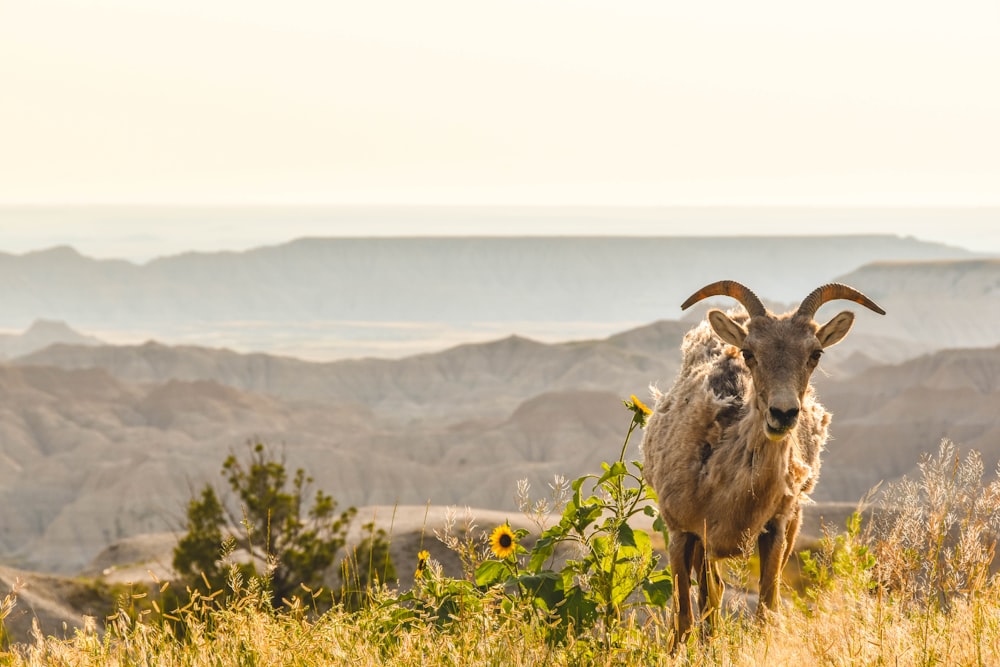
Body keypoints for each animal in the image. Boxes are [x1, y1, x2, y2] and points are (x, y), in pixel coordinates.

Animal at [640, 280, 884, 640]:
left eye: (815, 354)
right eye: (749, 352)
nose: (783, 413)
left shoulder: (775, 531)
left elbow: (765, 613)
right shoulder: (682, 533)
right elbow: (684, 619)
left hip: (790, 527)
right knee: (709, 600)